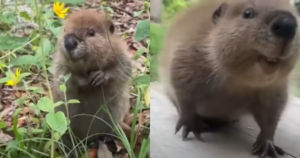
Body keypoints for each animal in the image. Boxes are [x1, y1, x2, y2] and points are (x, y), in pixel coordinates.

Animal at [51, 9, 132, 156]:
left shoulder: (120, 51)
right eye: (64, 30)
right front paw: (86, 81)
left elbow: (124, 68)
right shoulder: (60, 61)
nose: (69, 42)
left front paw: (99, 77)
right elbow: (63, 77)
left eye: (92, 32)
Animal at [158, 0, 298, 157]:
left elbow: (272, 114)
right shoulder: (186, 54)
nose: (287, 25)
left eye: (296, 18)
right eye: (248, 13)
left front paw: (267, 146)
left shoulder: (276, 88)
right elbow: (183, 93)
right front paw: (192, 126)